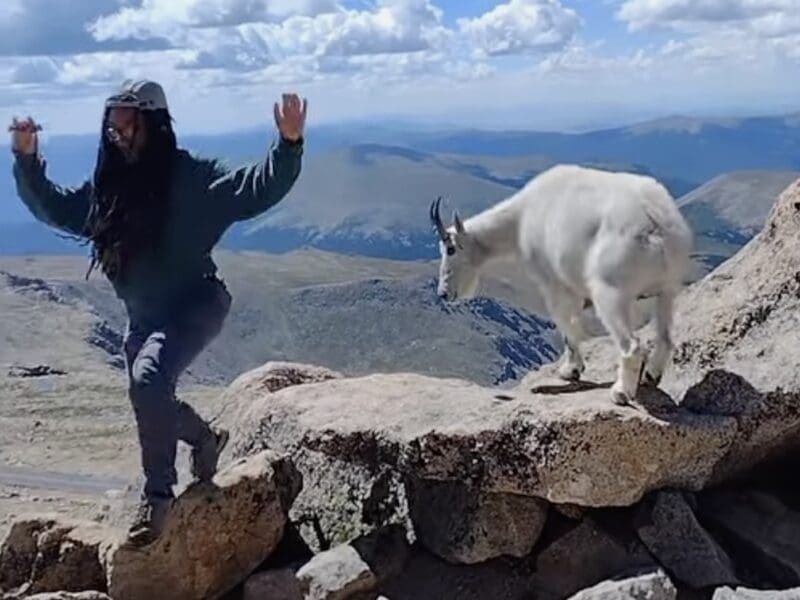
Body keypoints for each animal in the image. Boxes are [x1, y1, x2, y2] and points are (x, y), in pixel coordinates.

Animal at [430, 164, 693, 405]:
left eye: (450, 249)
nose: (443, 293)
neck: (520, 219)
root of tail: (655, 224)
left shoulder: (554, 284)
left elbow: (566, 326)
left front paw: (570, 371)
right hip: (668, 288)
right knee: (666, 337)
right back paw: (651, 376)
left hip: (610, 292)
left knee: (632, 346)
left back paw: (621, 393)